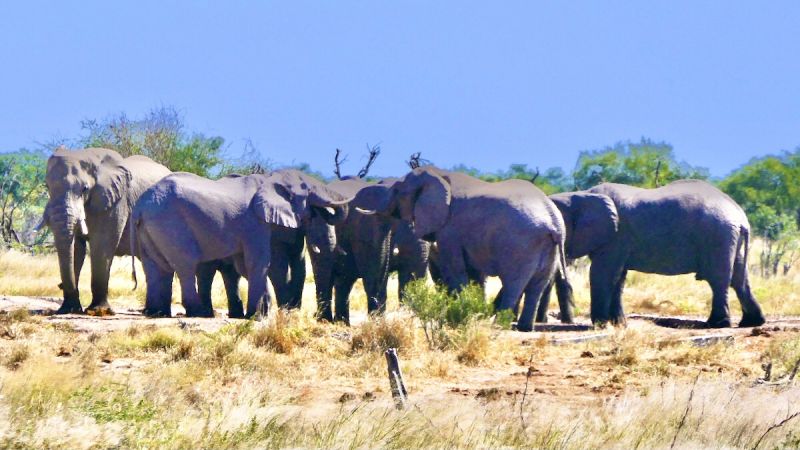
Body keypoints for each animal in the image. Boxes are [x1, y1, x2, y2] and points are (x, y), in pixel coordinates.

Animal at [42, 147, 170, 312]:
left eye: (85, 189)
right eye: (47, 186)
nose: (59, 285)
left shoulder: (116, 201)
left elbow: (101, 244)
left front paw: (97, 311)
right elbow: (76, 248)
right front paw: (68, 310)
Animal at [130, 170, 350, 320]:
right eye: (307, 188)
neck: (269, 179)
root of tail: (139, 206)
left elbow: (245, 266)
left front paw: (263, 311)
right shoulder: (255, 223)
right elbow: (259, 262)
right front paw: (257, 316)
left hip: (150, 229)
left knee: (156, 268)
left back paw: (158, 313)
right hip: (171, 224)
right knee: (185, 265)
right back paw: (198, 312)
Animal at [370, 165, 564, 330]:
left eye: (397, 190)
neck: (440, 174)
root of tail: (554, 223)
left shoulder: (450, 230)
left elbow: (454, 269)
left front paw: (460, 315)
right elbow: (475, 274)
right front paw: (475, 314)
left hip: (521, 246)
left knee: (514, 283)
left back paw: (499, 325)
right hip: (547, 249)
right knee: (537, 286)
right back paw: (524, 328)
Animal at [552, 181, 764, 328]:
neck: (581, 195)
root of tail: (740, 215)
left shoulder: (615, 236)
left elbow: (603, 273)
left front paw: (600, 325)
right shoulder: (618, 241)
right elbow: (618, 277)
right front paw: (619, 325)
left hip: (717, 236)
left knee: (719, 279)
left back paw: (716, 324)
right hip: (730, 238)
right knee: (739, 279)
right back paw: (751, 323)